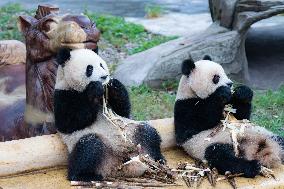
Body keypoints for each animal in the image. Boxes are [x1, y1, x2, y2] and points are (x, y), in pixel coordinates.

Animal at [53, 48, 164, 182]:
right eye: (89, 69)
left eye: (101, 65)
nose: (104, 76)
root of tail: (119, 164)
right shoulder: (63, 95)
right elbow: (68, 123)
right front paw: (94, 89)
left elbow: (123, 111)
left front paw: (113, 84)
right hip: (95, 145)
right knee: (89, 147)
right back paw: (84, 175)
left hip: (132, 134)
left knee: (148, 133)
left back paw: (157, 161)